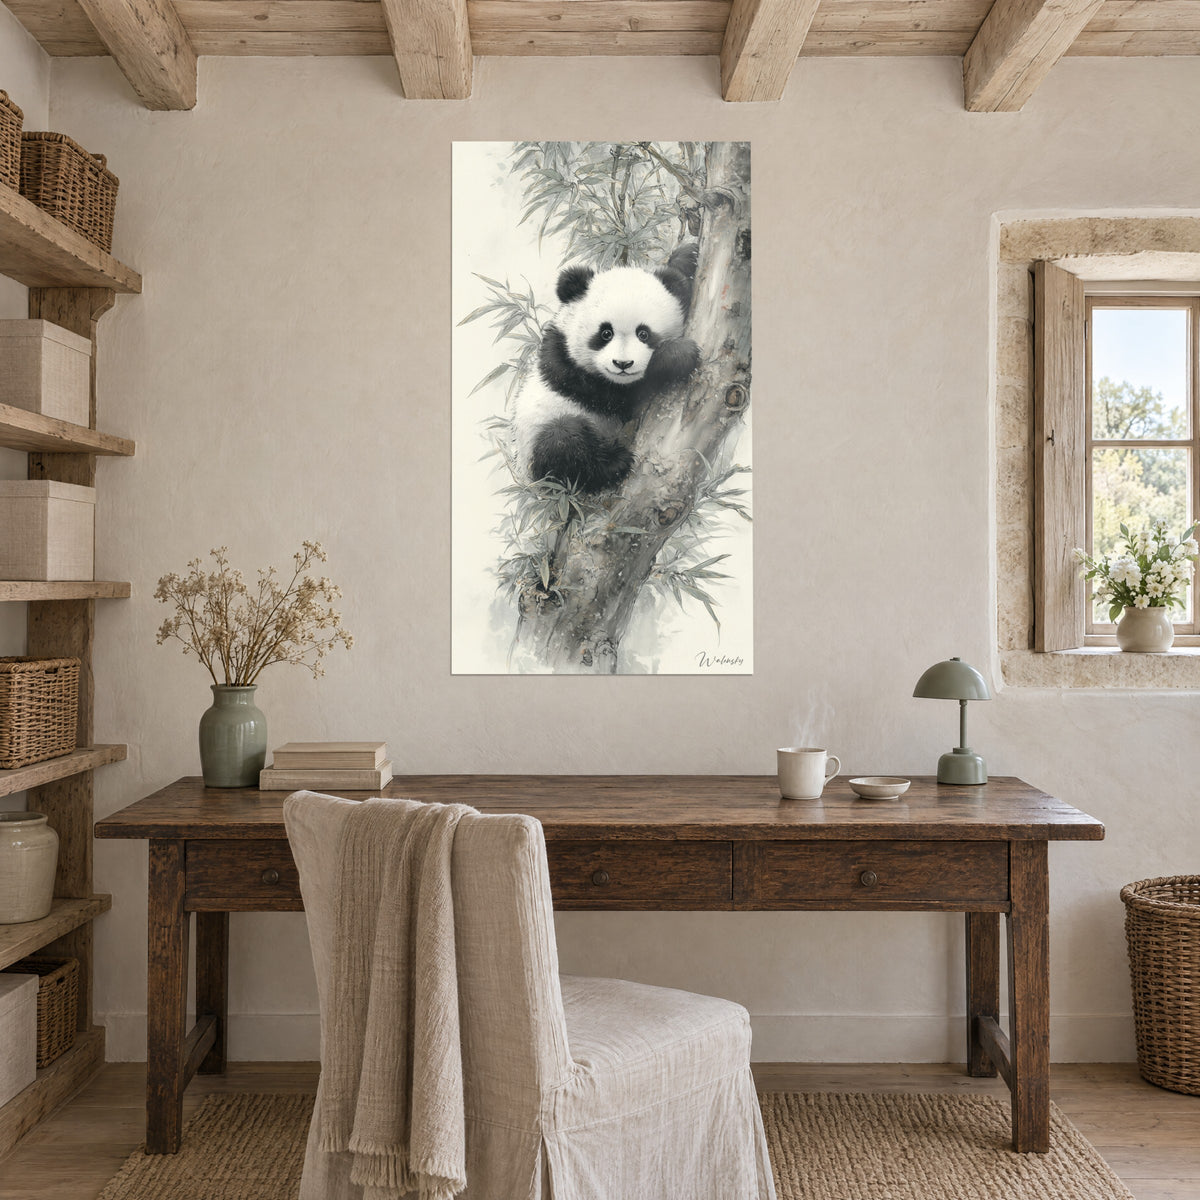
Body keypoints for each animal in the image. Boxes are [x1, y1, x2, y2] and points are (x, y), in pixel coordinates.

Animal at [511, 243, 701, 494]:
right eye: (605, 333)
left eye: (644, 334)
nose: (622, 364)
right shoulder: (566, 367)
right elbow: (626, 397)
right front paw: (678, 355)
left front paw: (687, 258)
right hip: (536, 450)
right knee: (563, 441)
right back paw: (614, 463)